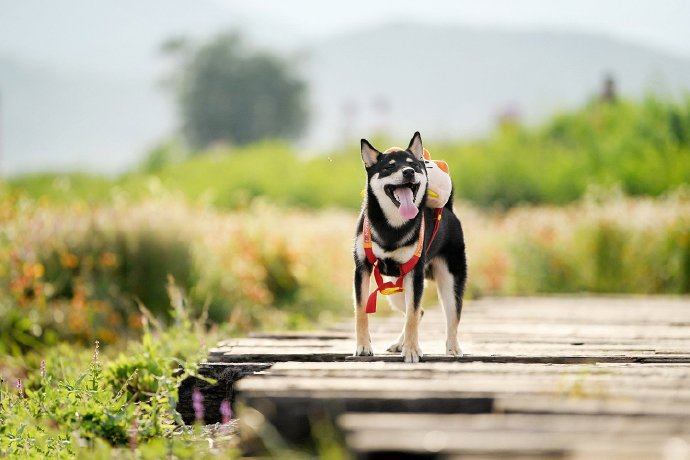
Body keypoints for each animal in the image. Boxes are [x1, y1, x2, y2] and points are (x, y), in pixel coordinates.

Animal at [352, 131, 464, 362]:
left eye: (413, 165)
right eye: (389, 167)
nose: (409, 172)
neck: (392, 227)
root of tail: (448, 210)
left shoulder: (415, 274)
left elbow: (412, 315)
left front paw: (412, 350)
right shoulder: (362, 268)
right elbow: (361, 312)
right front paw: (363, 346)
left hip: (449, 281)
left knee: (451, 316)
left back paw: (453, 348)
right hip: (394, 291)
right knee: (420, 311)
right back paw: (398, 344)